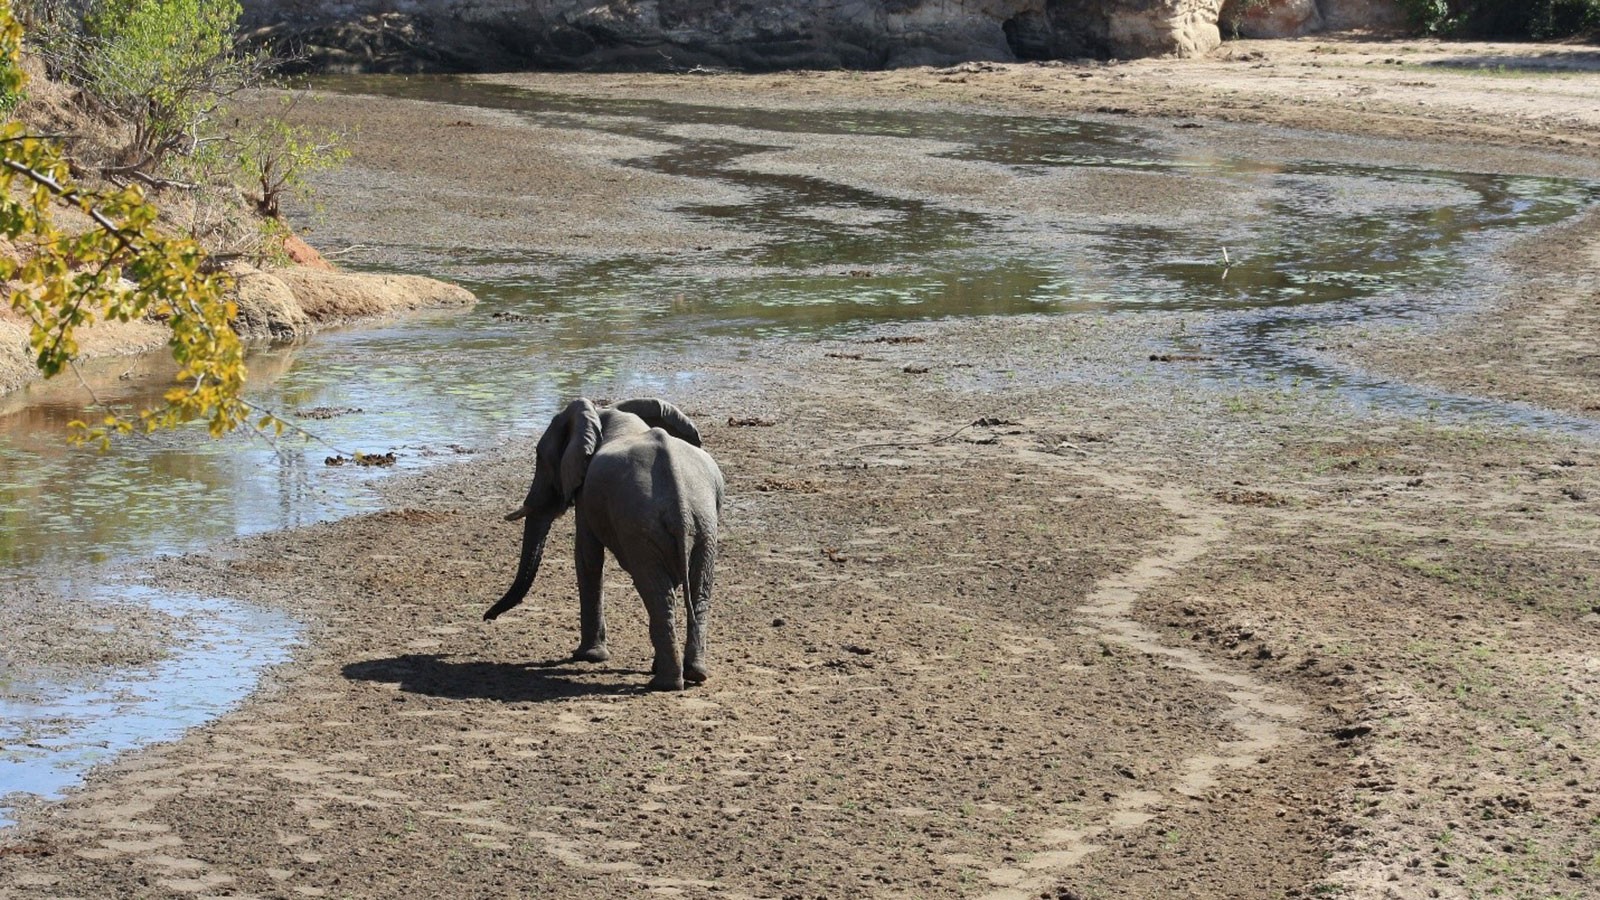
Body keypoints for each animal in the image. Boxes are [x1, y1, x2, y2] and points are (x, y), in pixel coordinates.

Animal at [482, 397, 725, 691]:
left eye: (540, 457)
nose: (487, 618)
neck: (608, 414)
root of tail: (679, 498)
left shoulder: (585, 492)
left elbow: (587, 557)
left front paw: (587, 657)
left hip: (643, 527)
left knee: (656, 591)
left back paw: (664, 683)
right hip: (704, 525)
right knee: (699, 589)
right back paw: (694, 674)